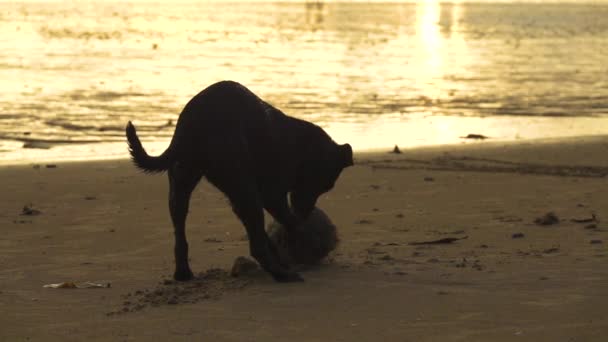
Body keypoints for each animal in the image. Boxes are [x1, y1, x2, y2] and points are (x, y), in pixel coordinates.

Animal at [124, 81, 352, 282]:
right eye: (326, 185)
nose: (306, 212)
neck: (303, 148)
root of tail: (193, 123)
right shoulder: (271, 195)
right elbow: (288, 223)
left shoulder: (244, 198)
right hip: (244, 190)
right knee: (257, 246)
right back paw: (282, 275)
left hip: (182, 185)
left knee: (181, 233)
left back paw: (183, 273)